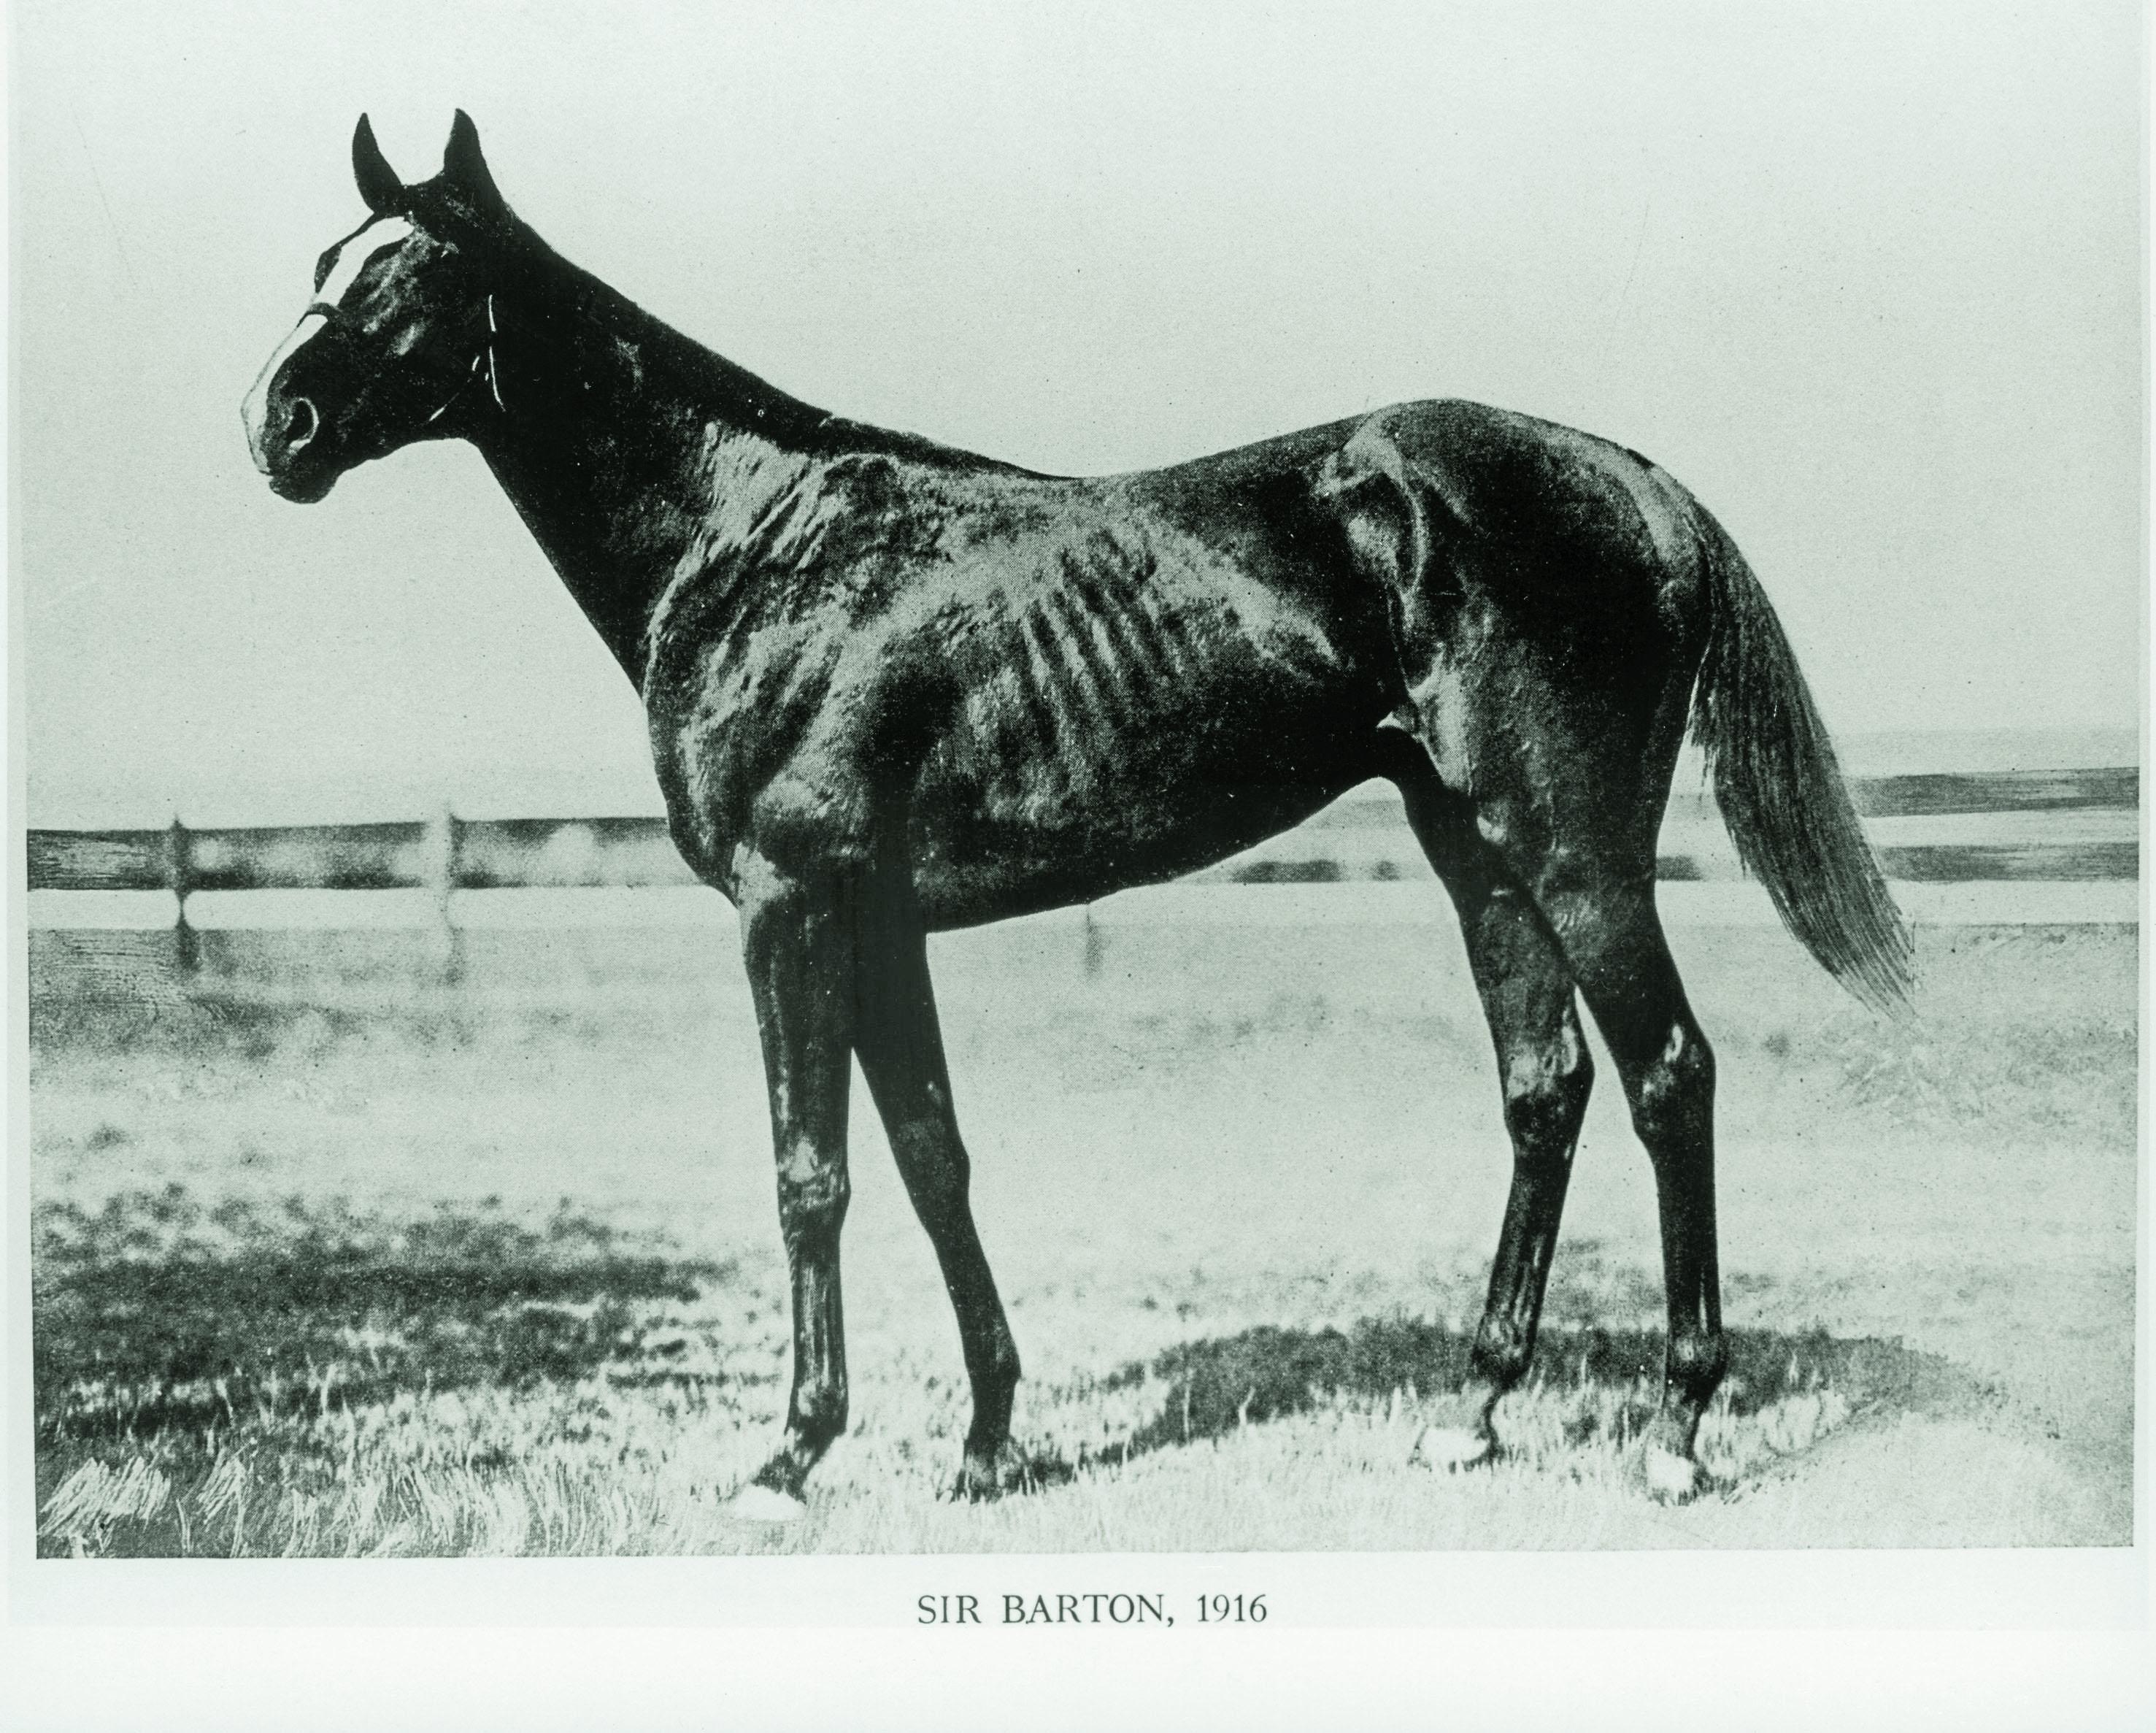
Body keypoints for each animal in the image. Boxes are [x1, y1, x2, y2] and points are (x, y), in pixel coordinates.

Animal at [245, 111, 1914, 1517]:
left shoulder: (791, 904)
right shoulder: (877, 919)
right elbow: (931, 1155)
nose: (279, 422)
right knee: (1543, 1084)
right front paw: (989, 1440)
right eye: (325, 261)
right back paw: (1474, 1406)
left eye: (416, 270)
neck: (755, 544)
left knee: (1668, 1074)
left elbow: (809, 1173)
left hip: (1569, 849)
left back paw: (1675, 1427)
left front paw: (792, 1453)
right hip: (1473, 846)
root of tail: (1634, 481)